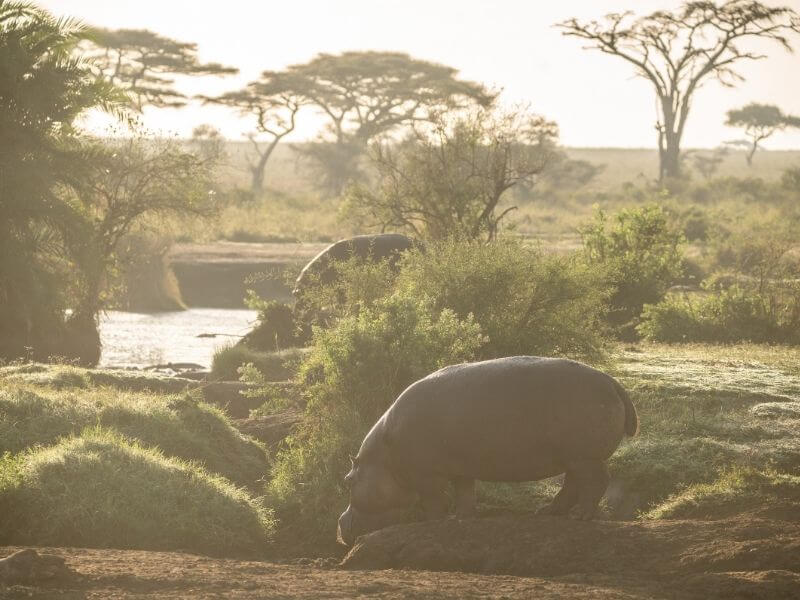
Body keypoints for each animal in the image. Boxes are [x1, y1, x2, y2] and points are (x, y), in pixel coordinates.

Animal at [338, 356, 636, 548]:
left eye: (348, 481)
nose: (339, 522)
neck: (383, 455)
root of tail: (612, 382)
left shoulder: (425, 475)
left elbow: (434, 500)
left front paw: (433, 522)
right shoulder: (460, 468)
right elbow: (465, 494)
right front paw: (461, 519)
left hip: (584, 457)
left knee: (596, 482)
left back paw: (580, 516)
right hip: (573, 458)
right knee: (572, 485)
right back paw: (546, 512)